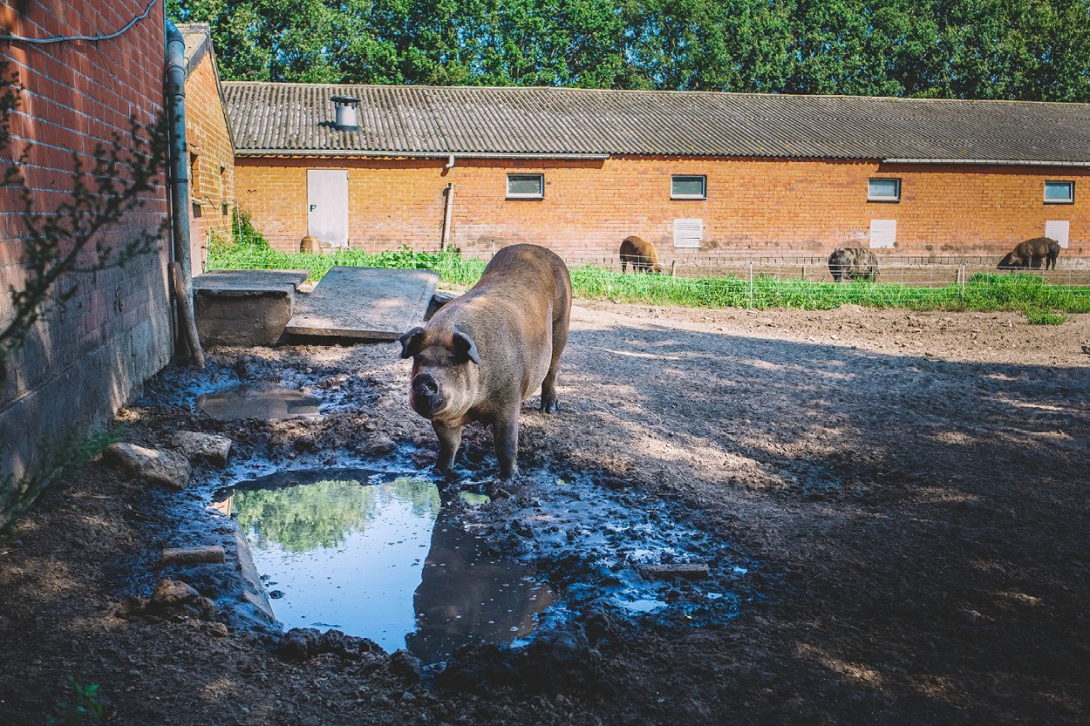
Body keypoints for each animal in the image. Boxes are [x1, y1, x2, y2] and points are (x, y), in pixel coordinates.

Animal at [398, 244, 571, 479]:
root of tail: (541, 250)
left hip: (562, 323)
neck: (474, 406)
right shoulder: (443, 418)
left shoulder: (509, 398)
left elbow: (505, 445)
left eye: (453, 361)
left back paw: (549, 409)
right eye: (419, 359)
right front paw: (440, 471)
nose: (425, 378)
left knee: (552, 369)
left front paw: (510, 478)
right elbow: (448, 445)